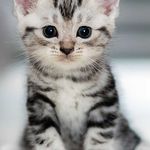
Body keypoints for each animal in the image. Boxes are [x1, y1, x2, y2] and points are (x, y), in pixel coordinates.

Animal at [13, 0, 143, 150]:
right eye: (49, 31)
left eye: (84, 32)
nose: (67, 49)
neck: (68, 77)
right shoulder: (38, 101)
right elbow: (48, 137)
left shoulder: (106, 102)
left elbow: (98, 138)